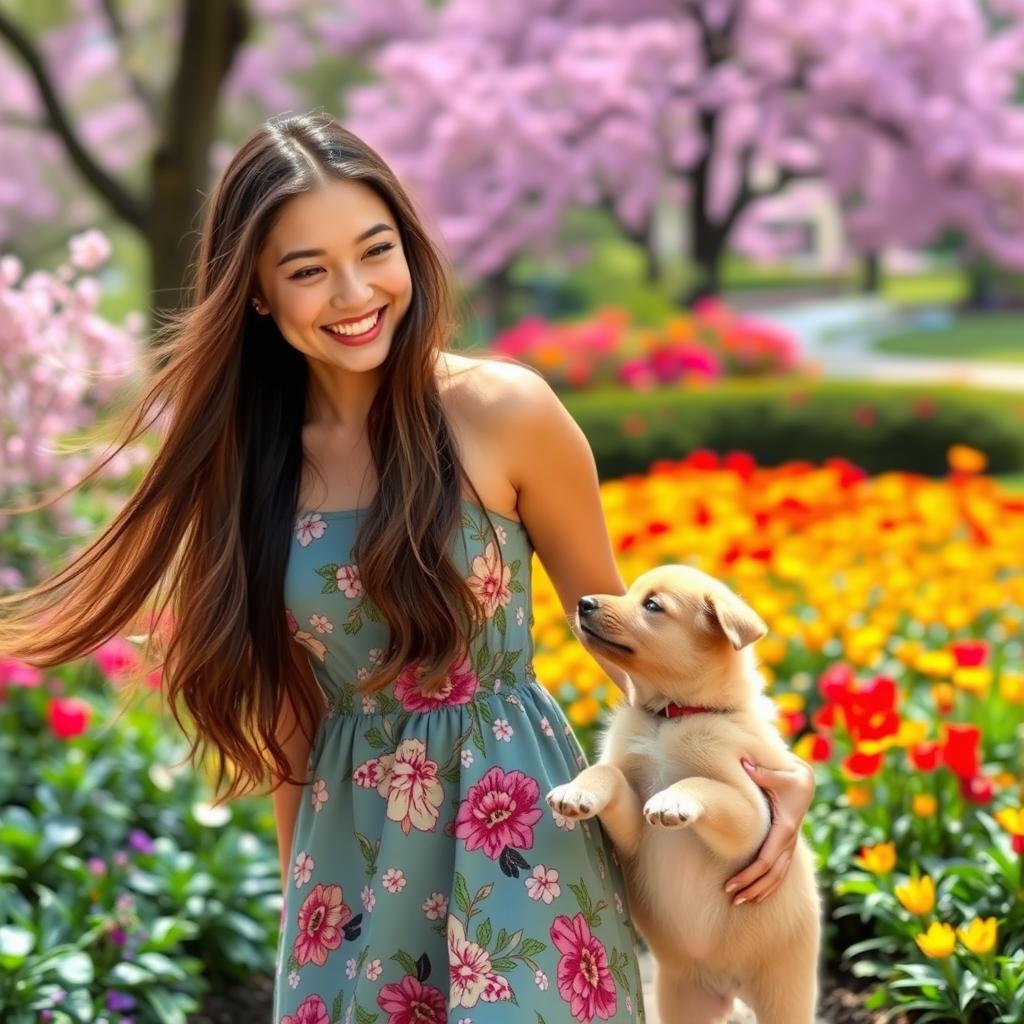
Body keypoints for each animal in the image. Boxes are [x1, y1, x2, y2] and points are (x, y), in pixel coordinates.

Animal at [548, 565, 819, 1024]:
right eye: (631, 593)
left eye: (653, 605)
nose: (584, 603)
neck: (672, 717)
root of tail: (730, 988)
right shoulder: (632, 835)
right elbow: (608, 772)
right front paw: (577, 790)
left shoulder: (753, 818)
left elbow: (701, 784)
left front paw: (672, 800)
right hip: (682, 1000)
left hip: (785, 992)